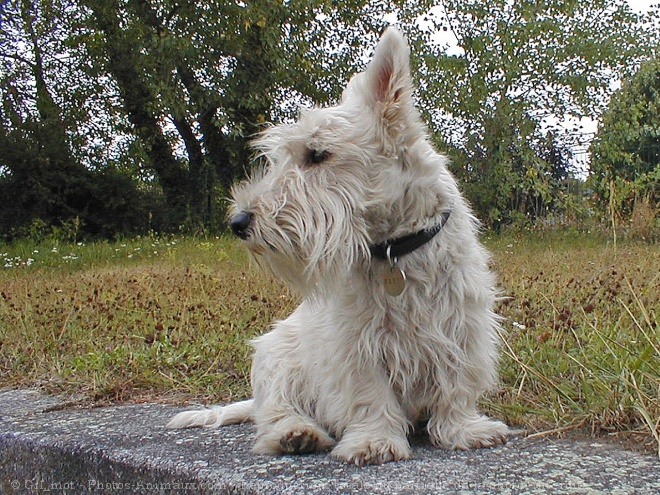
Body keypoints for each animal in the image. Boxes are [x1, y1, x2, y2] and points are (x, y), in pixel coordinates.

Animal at [168, 27, 508, 466]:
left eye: (317, 154)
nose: (239, 222)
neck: (395, 249)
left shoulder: (462, 326)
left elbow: (456, 384)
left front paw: (463, 430)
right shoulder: (355, 344)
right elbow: (370, 392)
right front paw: (375, 440)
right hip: (276, 359)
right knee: (275, 411)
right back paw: (297, 433)